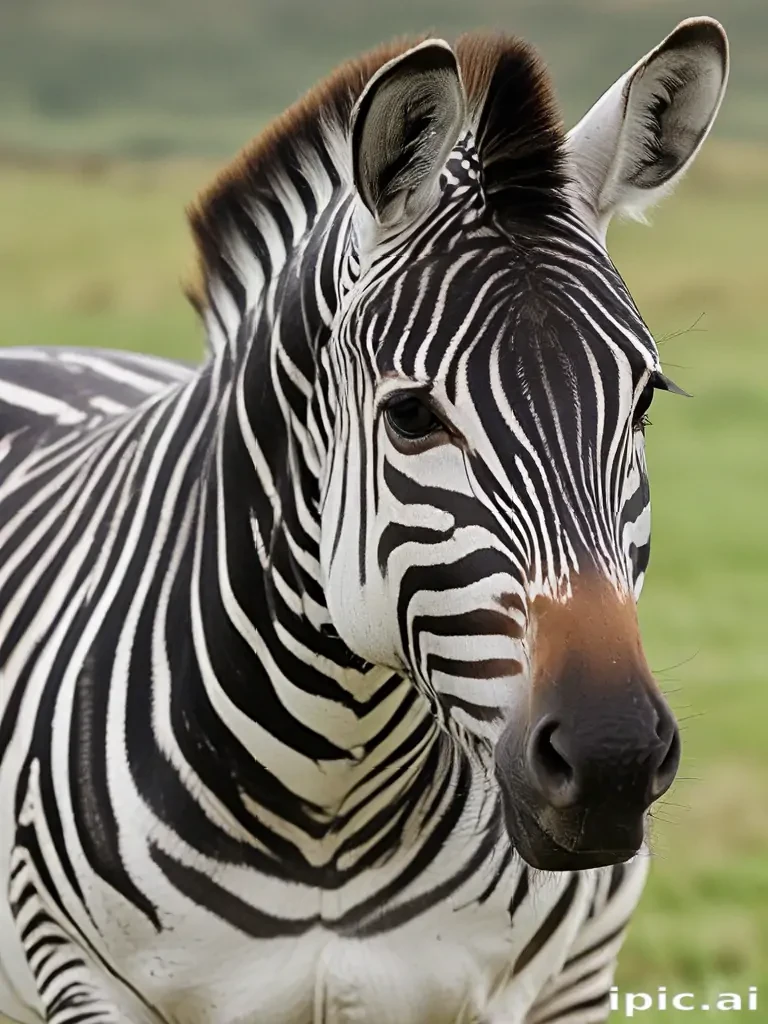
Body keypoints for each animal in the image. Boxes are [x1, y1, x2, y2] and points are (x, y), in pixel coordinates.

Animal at [0, 18, 727, 1024]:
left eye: (643, 402)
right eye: (411, 416)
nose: (613, 758)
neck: (333, 795)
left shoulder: (556, 985)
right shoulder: (82, 977)